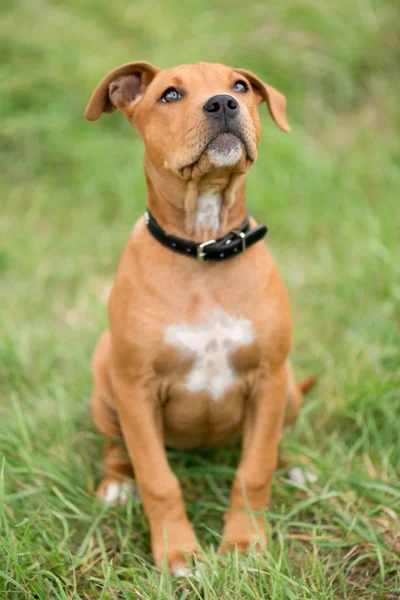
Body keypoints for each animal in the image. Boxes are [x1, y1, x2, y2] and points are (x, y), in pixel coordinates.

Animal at [85, 62, 316, 576]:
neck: (204, 247)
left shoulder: (269, 378)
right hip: (106, 382)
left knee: (273, 441)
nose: (223, 103)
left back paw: (296, 464)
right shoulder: (136, 389)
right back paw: (117, 485)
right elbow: (158, 478)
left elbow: (254, 469)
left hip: (288, 385)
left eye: (240, 87)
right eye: (170, 95)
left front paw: (245, 544)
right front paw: (177, 553)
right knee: (117, 450)